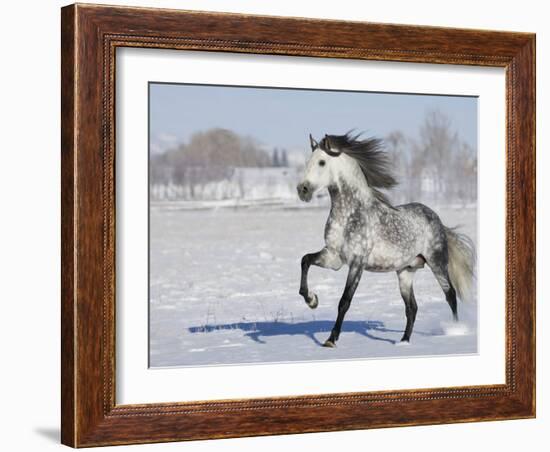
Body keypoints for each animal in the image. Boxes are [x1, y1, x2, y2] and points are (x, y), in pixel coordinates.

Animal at [298, 132, 478, 348]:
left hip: (437, 263)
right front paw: (312, 300)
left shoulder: (357, 263)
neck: (350, 215)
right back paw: (404, 341)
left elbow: (345, 301)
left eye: (322, 162)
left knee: (450, 295)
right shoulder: (334, 257)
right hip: (405, 271)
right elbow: (305, 260)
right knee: (412, 307)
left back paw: (455, 331)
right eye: (308, 161)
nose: (302, 190)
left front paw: (331, 340)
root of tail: (437, 219)